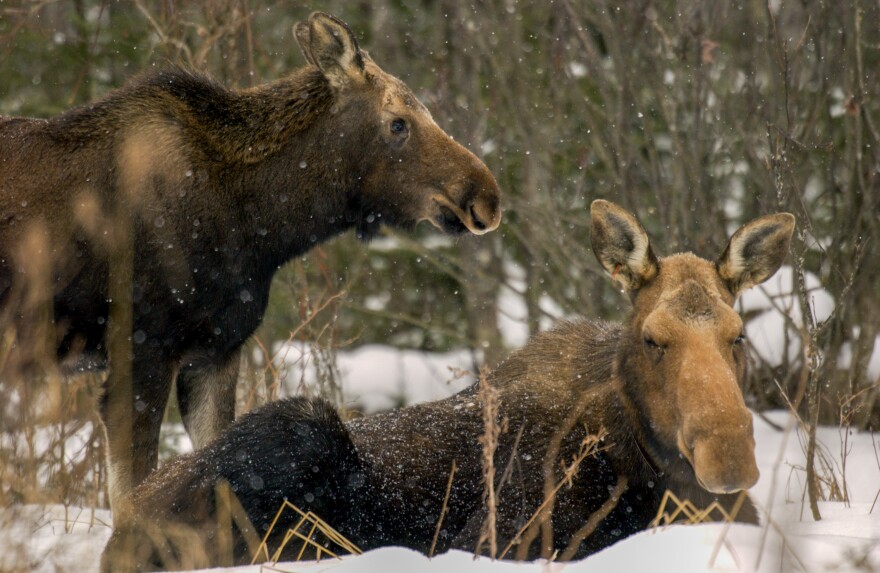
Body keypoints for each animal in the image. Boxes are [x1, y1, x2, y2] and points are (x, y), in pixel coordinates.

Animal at [0, 12, 501, 516]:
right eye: (398, 123)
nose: (486, 196)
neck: (261, 228)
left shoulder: (218, 350)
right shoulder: (141, 348)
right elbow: (132, 492)